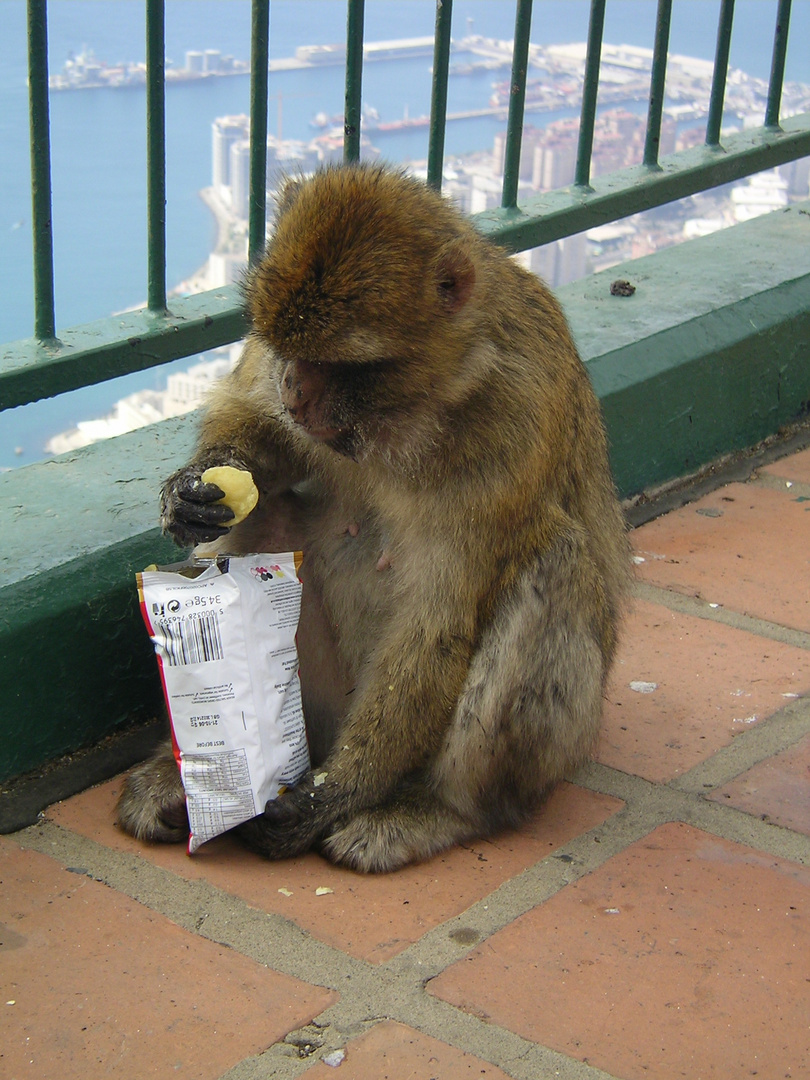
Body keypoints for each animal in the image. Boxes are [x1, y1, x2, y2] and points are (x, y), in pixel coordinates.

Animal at [115, 162, 635, 868]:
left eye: (335, 362)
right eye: (287, 349)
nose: (293, 390)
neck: (417, 407)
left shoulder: (514, 422)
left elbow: (440, 617)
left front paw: (334, 796)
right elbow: (265, 438)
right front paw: (193, 488)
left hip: (559, 737)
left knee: (554, 558)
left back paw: (438, 810)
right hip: (321, 698)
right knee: (263, 524)